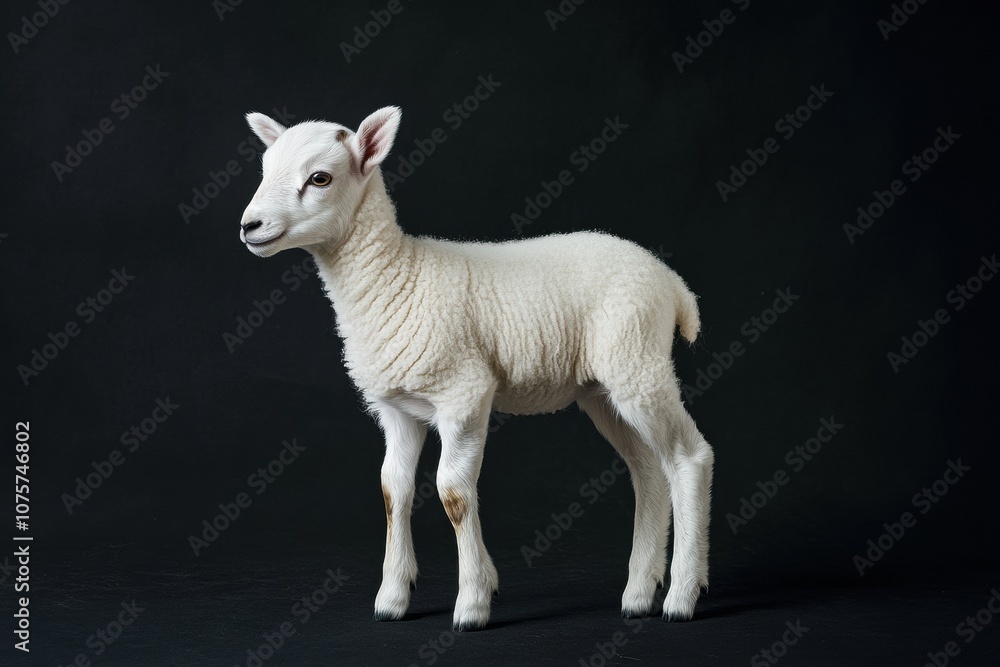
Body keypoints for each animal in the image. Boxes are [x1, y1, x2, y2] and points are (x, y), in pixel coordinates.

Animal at [239, 106, 714, 631]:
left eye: (319, 178)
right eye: (264, 171)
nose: (249, 226)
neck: (397, 277)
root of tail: (671, 283)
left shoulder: (463, 394)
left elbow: (454, 495)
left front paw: (472, 602)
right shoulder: (396, 410)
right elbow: (392, 490)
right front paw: (393, 598)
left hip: (637, 362)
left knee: (690, 458)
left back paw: (682, 595)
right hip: (602, 388)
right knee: (648, 469)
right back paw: (638, 593)